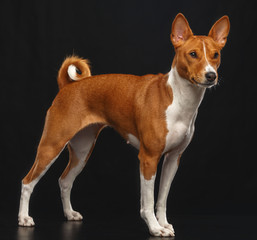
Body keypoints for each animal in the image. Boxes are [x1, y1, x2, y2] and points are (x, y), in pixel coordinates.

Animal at [18, 13, 230, 236]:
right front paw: (155, 228)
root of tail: (67, 86)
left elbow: (162, 199)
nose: (211, 75)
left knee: (65, 181)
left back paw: (69, 214)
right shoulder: (148, 158)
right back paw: (24, 218)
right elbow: (148, 201)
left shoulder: (173, 159)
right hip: (51, 146)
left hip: (82, 151)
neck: (179, 100)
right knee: (27, 182)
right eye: (193, 54)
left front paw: (163, 223)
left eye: (215, 55)